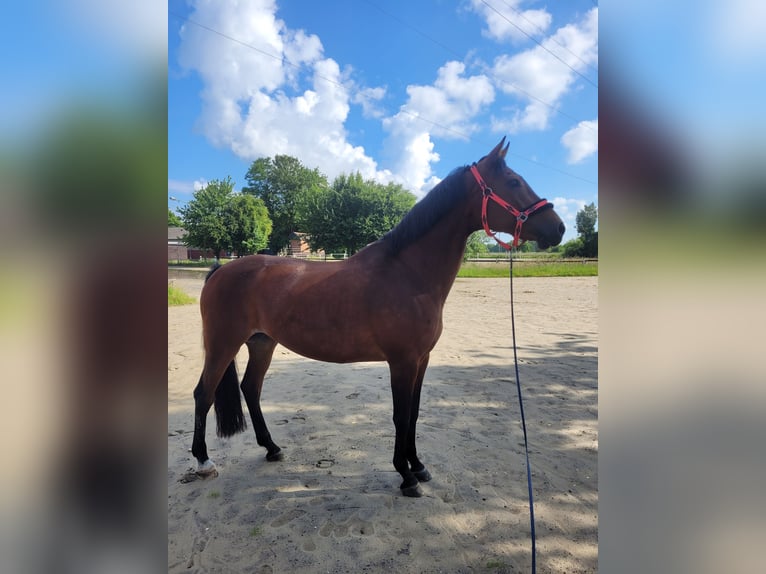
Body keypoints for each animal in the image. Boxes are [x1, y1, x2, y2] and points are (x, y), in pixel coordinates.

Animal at [190, 137, 564, 498]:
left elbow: (414, 413)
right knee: (204, 394)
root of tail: (221, 270)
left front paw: (419, 467)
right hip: (223, 344)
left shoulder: (421, 360)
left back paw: (272, 448)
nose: (558, 228)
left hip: (262, 343)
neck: (408, 273)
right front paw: (406, 476)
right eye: (514, 181)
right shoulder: (402, 361)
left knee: (250, 389)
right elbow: (401, 415)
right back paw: (204, 461)